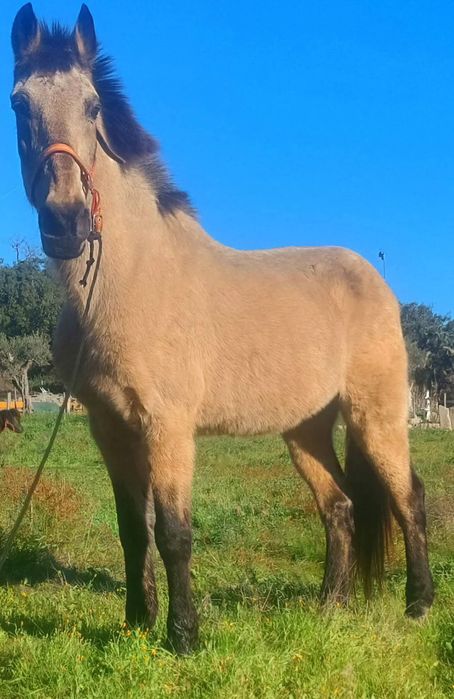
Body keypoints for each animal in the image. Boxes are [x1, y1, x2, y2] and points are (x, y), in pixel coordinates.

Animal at [11, 4, 433, 653]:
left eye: (92, 106)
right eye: (18, 104)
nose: (65, 222)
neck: (130, 282)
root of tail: (374, 278)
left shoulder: (167, 427)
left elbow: (174, 532)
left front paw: (183, 637)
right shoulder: (109, 428)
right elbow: (133, 528)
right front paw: (137, 623)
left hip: (376, 417)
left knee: (408, 499)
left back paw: (418, 605)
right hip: (305, 430)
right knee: (340, 506)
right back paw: (329, 608)